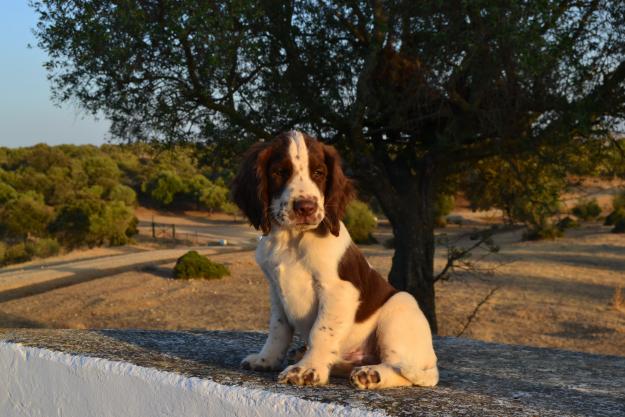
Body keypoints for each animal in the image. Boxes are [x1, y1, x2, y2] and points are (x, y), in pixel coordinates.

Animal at [230, 131, 438, 390]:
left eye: (319, 173)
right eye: (279, 172)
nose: (306, 207)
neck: (292, 239)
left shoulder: (338, 290)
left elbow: (321, 331)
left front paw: (307, 370)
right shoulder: (276, 291)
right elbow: (278, 329)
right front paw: (266, 359)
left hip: (399, 308)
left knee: (403, 368)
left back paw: (371, 374)